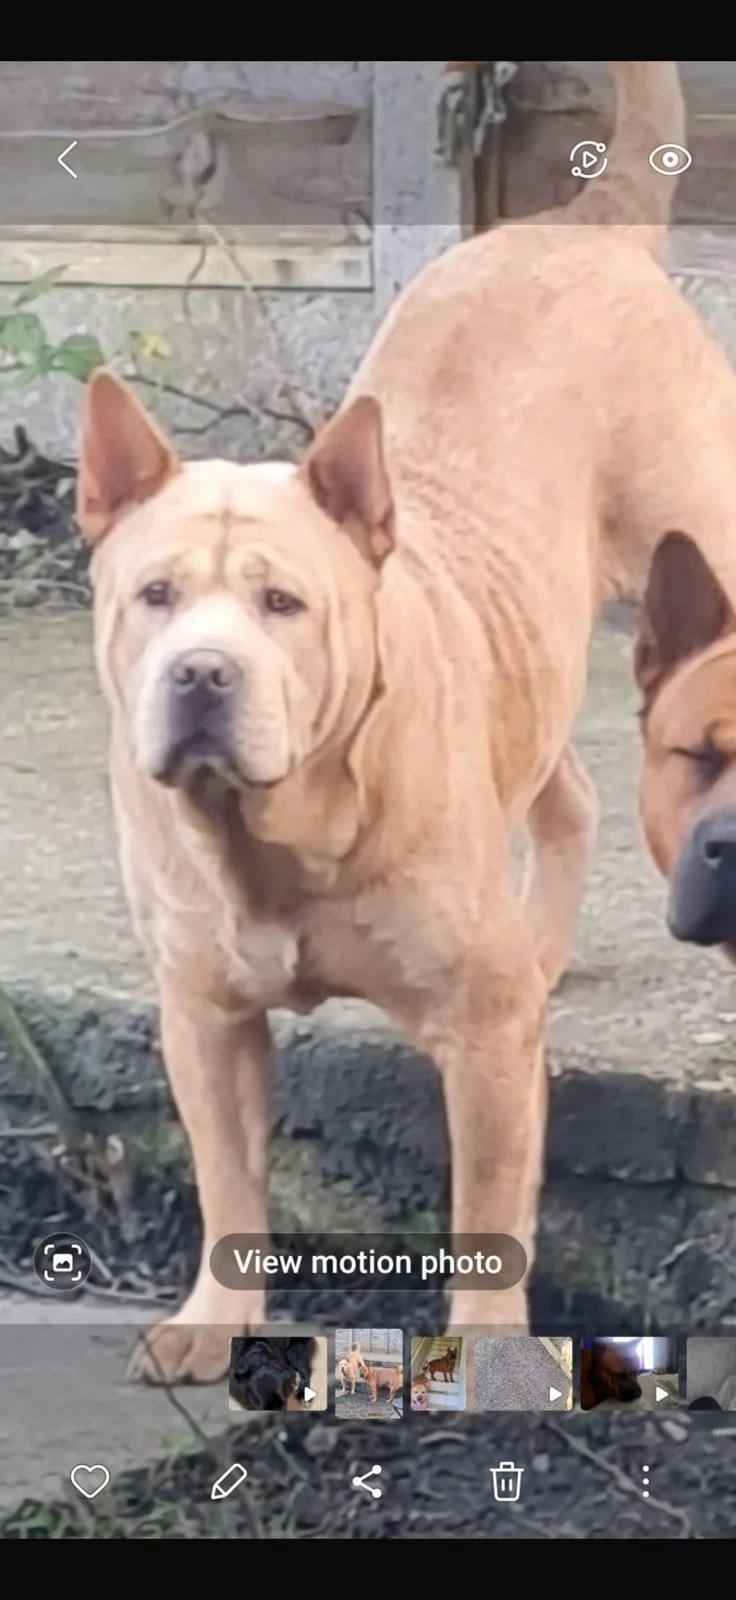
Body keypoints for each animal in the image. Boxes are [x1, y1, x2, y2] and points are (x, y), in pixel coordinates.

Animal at [80, 59, 720, 1383]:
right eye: (152, 596)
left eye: (282, 603)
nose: (202, 673)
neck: (275, 826)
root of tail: (589, 224)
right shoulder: (205, 1019)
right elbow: (227, 1180)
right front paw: (215, 1320)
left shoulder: (481, 1041)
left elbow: (487, 1206)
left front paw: (488, 1353)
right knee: (565, 790)